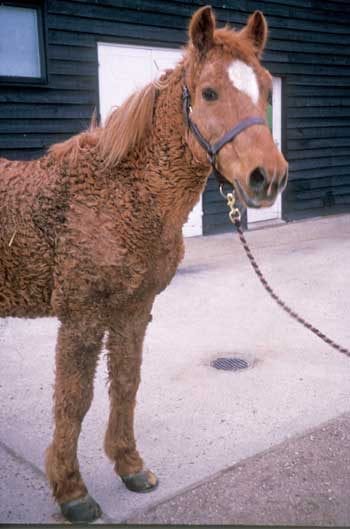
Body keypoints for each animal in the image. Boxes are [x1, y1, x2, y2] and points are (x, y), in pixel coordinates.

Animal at [0, 6, 288, 520]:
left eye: (267, 91)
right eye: (209, 92)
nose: (267, 178)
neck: (122, 193)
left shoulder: (134, 309)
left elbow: (126, 383)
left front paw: (130, 465)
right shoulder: (81, 315)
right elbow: (74, 399)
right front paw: (72, 491)